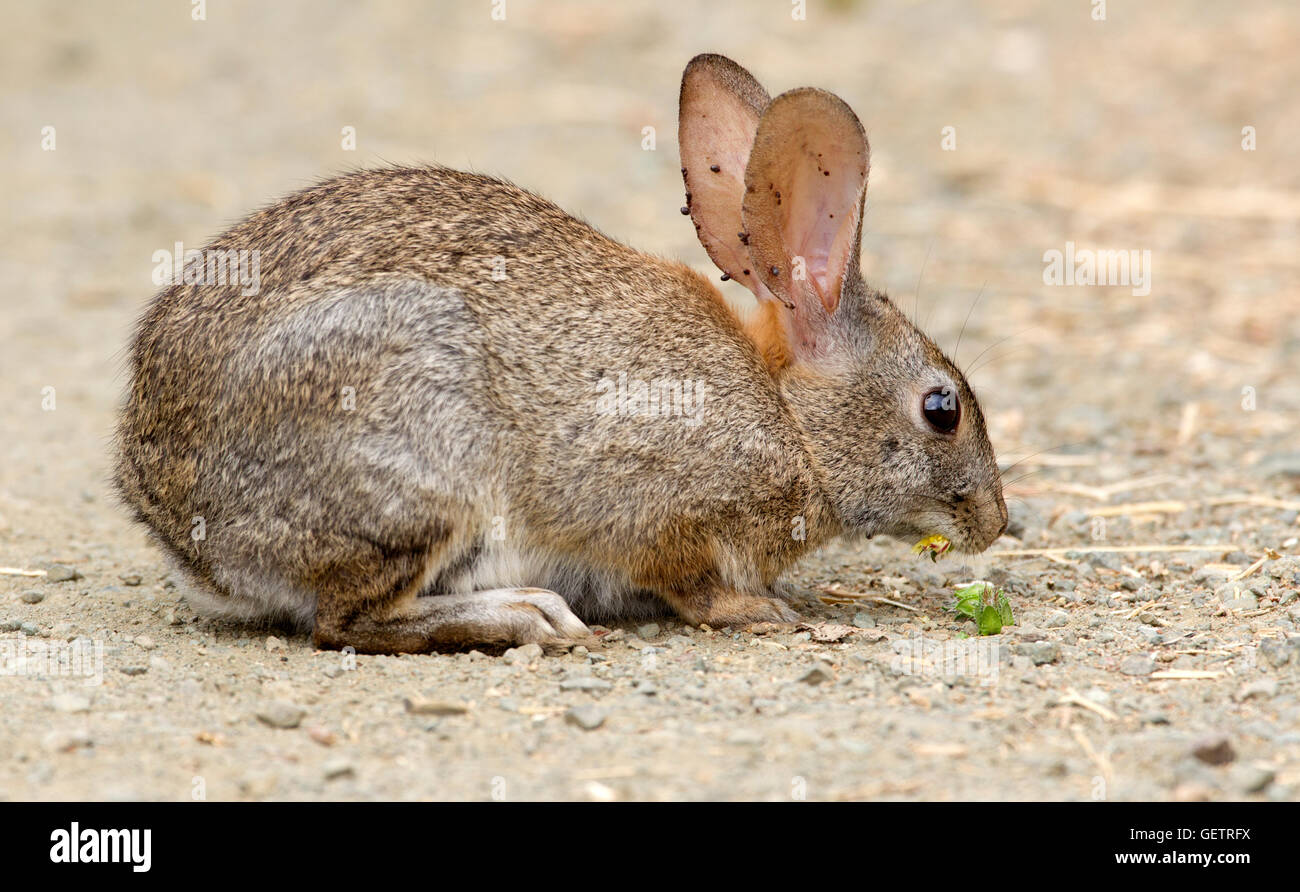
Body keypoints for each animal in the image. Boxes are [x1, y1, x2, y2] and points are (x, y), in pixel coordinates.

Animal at [114, 53, 1007, 654]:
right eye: (941, 409)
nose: (997, 523)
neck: (791, 418)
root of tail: (186, 533)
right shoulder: (666, 511)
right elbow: (693, 583)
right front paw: (764, 612)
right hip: (424, 462)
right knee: (350, 621)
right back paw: (528, 615)